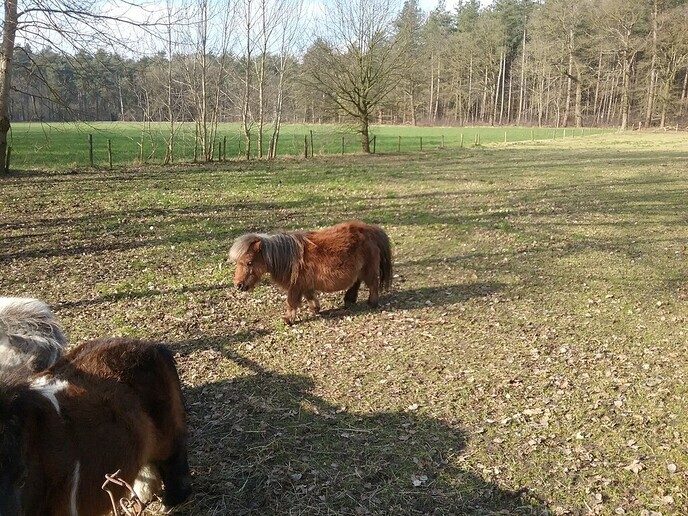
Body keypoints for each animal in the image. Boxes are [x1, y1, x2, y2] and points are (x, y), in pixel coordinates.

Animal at [229, 220, 393, 324]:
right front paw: (316, 309)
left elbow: (291, 302)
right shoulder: (305, 285)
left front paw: (288, 320)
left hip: (368, 270)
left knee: (373, 284)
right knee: (357, 282)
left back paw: (372, 303)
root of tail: (370, 230)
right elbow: (310, 297)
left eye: (249, 262)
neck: (289, 257)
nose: (238, 285)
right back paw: (349, 299)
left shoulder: (296, 286)